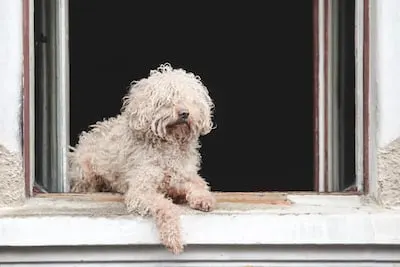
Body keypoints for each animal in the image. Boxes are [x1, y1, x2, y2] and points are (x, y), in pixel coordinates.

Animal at [70, 63, 217, 255]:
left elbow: (199, 185)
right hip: (86, 174)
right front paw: (173, 238)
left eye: (190, 99)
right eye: (166, 100)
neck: (169, 145)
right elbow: (165, 206)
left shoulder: (185, 176)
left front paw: (204, 199)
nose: (185, 113)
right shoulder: (142, 190)